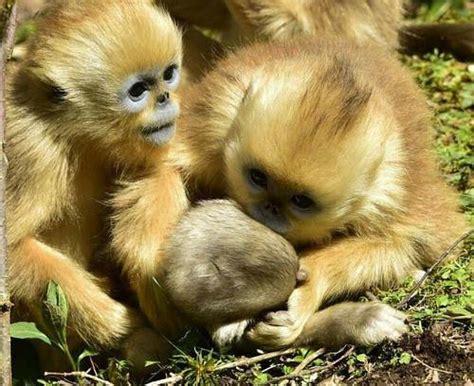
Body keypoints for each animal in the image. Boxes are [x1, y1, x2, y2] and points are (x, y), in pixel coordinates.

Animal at [6, 0, 189, 370]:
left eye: (168, 74)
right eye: (138, 91)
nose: (165, 97)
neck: (76, 136)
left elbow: (160, 170)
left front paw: (146, 258)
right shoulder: (32, 153)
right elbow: (12, 248)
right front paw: (115, 324)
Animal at [174, 38, 466, 350]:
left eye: (301, 201)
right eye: (258, 178)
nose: (269, 209)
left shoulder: (397, 195)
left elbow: (406, 244)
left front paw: (306, 291)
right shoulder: (209, 126)